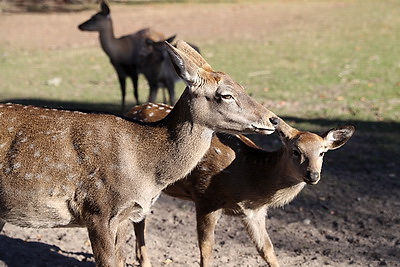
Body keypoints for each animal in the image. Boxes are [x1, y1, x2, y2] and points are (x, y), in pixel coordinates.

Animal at [0, 39, 280, 267]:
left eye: (243, 86)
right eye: (226, 94)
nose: (273, 119)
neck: (146, 169)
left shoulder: (126, 215)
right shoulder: (97, 210)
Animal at [124, 103, 354, 267]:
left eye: (322, 152)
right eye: (296, 151)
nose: (313, 175)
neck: (250, 180)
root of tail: (132, 109)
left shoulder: (254, 212)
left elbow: (267, 249)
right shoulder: (206, 197)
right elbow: (206, 249)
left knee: (139, 220)